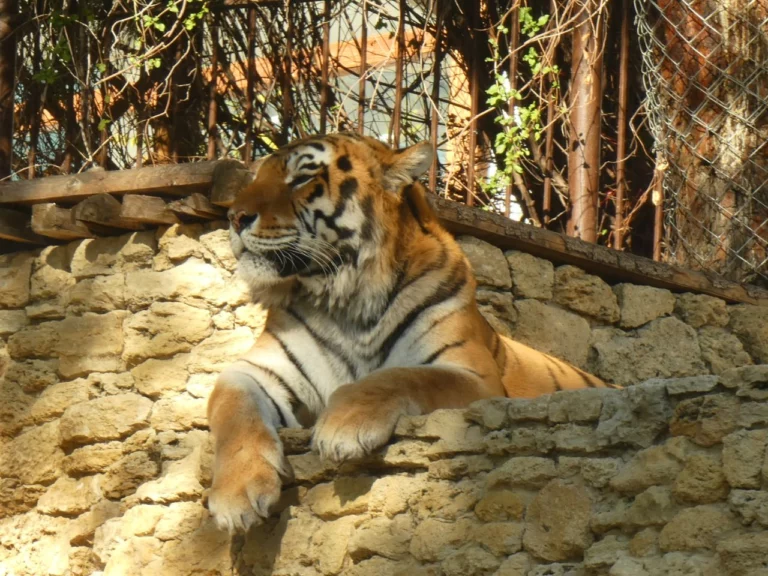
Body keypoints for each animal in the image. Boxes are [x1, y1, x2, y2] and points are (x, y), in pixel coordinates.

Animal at [207, 132, 612, 533]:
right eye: (256, 178)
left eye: (302, 178)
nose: (233, 216)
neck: (348, 301)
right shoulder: (253, 371)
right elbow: (233, 410)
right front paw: (236, 494)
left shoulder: (473, 376)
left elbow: (398, 376)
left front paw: (342, 426)